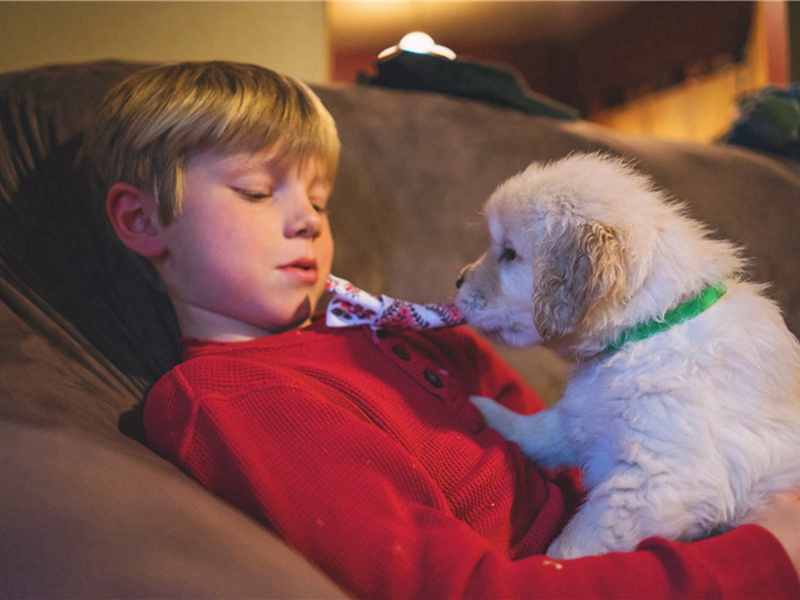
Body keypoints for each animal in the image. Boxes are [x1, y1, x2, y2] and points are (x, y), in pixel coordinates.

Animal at [456, 152, 800, 560]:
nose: (458, 280)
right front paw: (486, 411)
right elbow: (542, 429)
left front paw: (546, 564)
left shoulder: (656, 481)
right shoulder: (585, 418)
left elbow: (575, 543)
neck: (650, 327)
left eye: (509, 253)